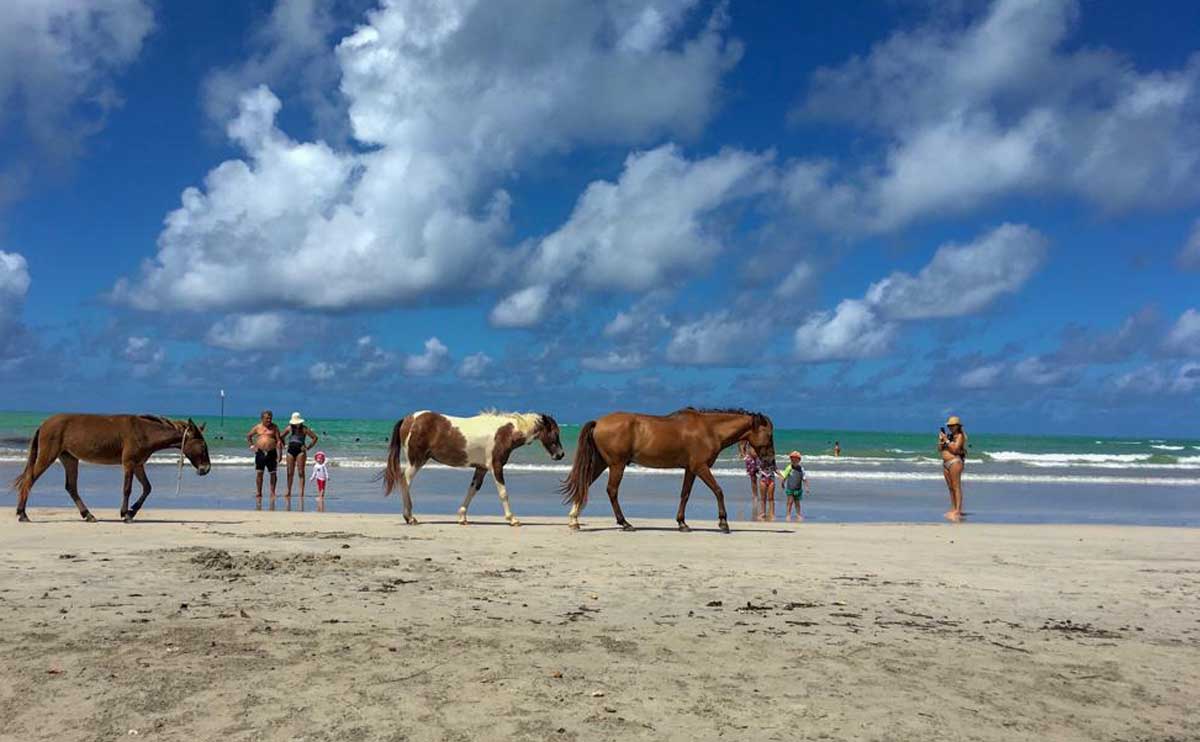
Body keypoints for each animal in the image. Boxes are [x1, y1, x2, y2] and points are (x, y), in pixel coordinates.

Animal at [10, 413, 212, 523]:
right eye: (203, 446)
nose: (206, 469)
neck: (144, 432)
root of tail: (44, 424)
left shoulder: (138, 464)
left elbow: (147, 488)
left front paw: (132, 511)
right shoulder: (129, 463)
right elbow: (127, 488)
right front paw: (126, 514)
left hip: (69, 458)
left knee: (71, 487)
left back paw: (88, 515)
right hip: (48, 456)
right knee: (29, 480)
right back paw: (22, 514)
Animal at [386, 410, 568, 525]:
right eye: (555, 433)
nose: (560, 454)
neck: (505, 433)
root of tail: (408, 419)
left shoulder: (481, 468)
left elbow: (472, 490)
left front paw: (462, 517)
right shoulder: (496, 466)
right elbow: (503, 493)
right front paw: (512, 519)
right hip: (416, 461)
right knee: (405, 481)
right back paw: (410, 517)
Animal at [561, 403, 777, 530]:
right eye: (769, 435)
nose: (771, 462)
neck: (709, 429)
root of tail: (598, 422)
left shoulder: (691, 469)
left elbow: (685, 494)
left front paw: (682, 522)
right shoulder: (701, 467)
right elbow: (718, 490)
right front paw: (723, 522)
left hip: (601, 463)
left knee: (584, 484)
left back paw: (574, 519)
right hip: (617, 464)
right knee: (612, 491)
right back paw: (624, 522)